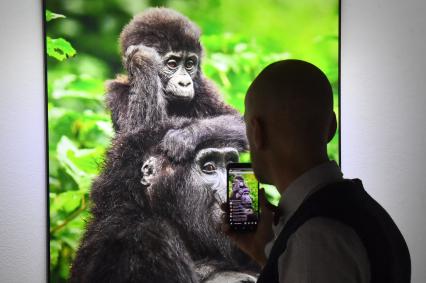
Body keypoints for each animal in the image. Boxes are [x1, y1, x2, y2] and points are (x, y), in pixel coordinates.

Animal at [106, 8, 238, 133]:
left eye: (189, 64)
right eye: (172, 64)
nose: (185, 83)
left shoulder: (207, 89)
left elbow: (235, 119)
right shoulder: (116, 92)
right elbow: (138, 132)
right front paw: (142, 58)